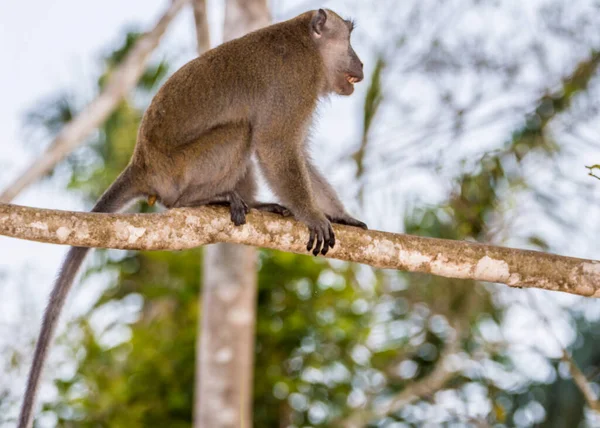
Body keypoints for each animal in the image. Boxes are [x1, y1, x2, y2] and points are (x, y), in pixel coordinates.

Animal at [17, 8, 366, 426]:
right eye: (348, 38)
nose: (361, 63)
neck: (305, 43)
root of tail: (143, 163)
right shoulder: (295, 81)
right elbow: (276, 148)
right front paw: (313, 214)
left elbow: (292, 154)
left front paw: (340, 215)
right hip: (182, 169)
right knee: (240, 132)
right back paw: (202, 199)